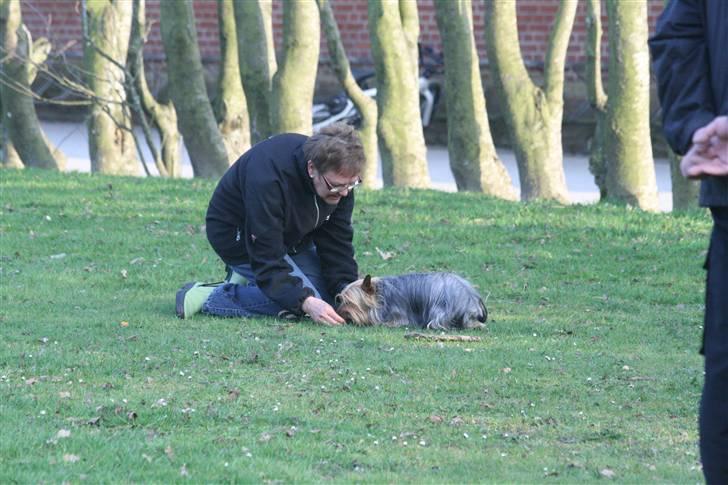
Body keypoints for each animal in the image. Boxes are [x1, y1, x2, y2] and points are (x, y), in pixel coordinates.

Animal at [336, 272, 490, 328]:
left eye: (349, 303)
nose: (339, 313)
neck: (381, 294)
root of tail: (471, 297)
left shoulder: (398, 315)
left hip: (440, 308)